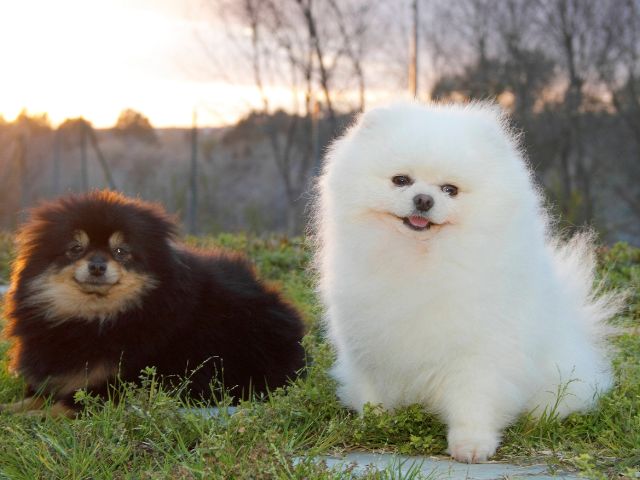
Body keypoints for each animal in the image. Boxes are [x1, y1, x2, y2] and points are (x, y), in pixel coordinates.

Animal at [0, 189, 304, 414]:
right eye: (75, 249)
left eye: (121, 252)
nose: (97, 266)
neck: (97, 318)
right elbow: (31, 401)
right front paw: (10, 411)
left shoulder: (114, 386)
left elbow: (57, 408)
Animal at [316, 102, 620, 464]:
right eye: (401, 180)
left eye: (450, 189)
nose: (423, 199)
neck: (421, 258)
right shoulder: (369, 344)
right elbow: (372, 392)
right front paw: (374, 424)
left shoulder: (480, 350)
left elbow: (473, 400)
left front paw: (471, 445)